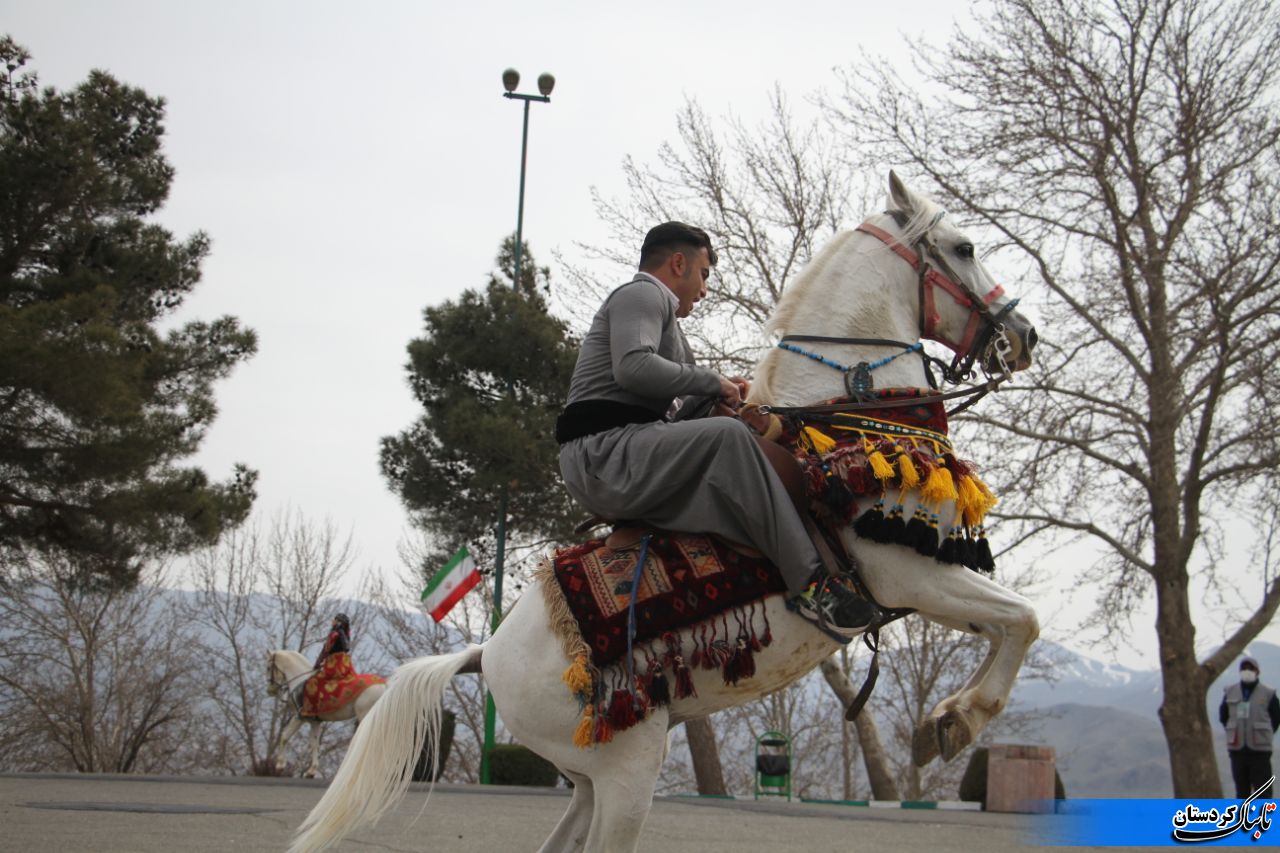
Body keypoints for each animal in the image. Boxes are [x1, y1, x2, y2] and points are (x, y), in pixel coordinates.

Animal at [267, 649, 387, 778]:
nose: (270, 690)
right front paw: (311, 771)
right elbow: (314, 743)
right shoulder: (314, 721)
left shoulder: (299, 718)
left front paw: (280, 765)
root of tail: (384, 686)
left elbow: (284, 736)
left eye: (268, 667)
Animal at [288, 172, 1041, 853]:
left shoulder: (925, 579)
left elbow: (1009, 624)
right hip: (628, 772)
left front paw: (944, 722)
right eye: (966, 246)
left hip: (591, 780)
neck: (846, 421)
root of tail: (487, 654)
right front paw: (958, 720)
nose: (1025, 334)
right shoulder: (909, 573)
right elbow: (1022, 621)